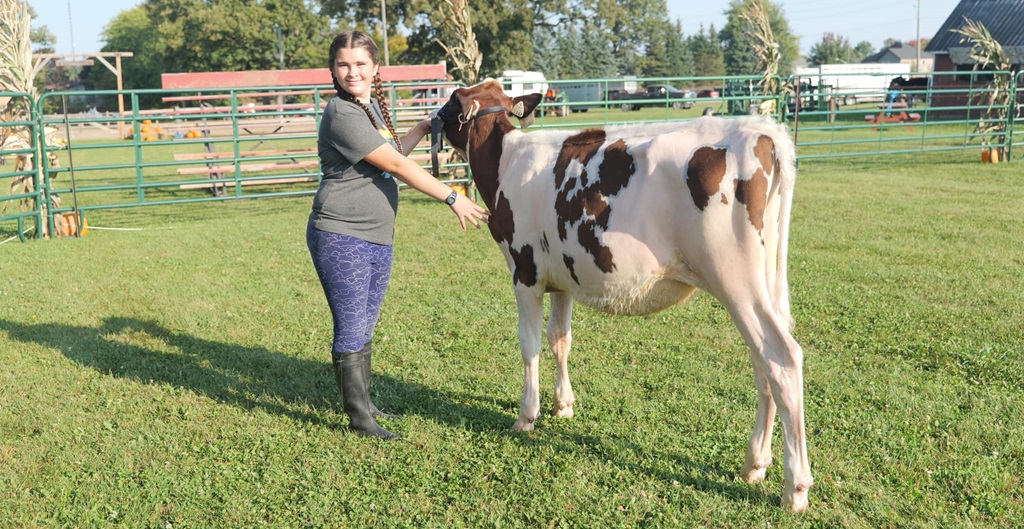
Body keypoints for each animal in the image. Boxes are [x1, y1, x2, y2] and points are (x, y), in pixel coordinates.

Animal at [432, 80, 812, 511]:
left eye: (451, 100)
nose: (431, 118)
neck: (506, 161)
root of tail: (761, 130)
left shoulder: (524, 271)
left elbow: (529, 344)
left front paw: (527, 414)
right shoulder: (562, 278)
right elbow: (559, 340)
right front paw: (564, 404)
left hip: (736, 279)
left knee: (781, 358)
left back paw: (795, 487)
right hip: (762, 283)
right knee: (762, 362)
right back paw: (755, 464)